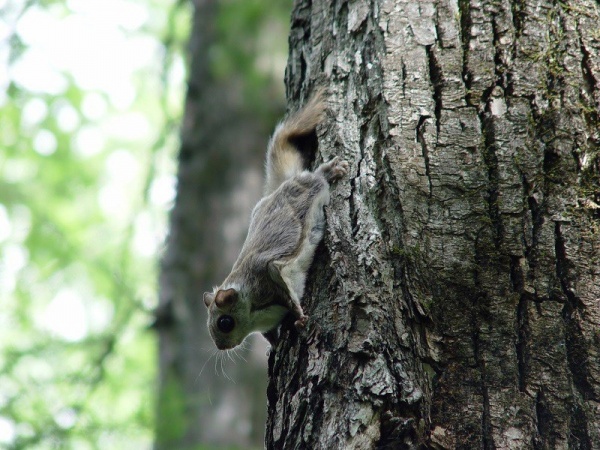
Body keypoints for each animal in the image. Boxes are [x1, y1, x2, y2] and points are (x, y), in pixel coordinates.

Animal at [204, 90, 350, 352]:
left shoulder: (267, 276)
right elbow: (270, 333)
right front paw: (274, 344)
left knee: (315, 178)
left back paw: (329, 171)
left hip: (308, 187)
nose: (221, 347)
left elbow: (285, 289)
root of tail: (282, 186)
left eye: (225, 322)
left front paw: (300, 316)